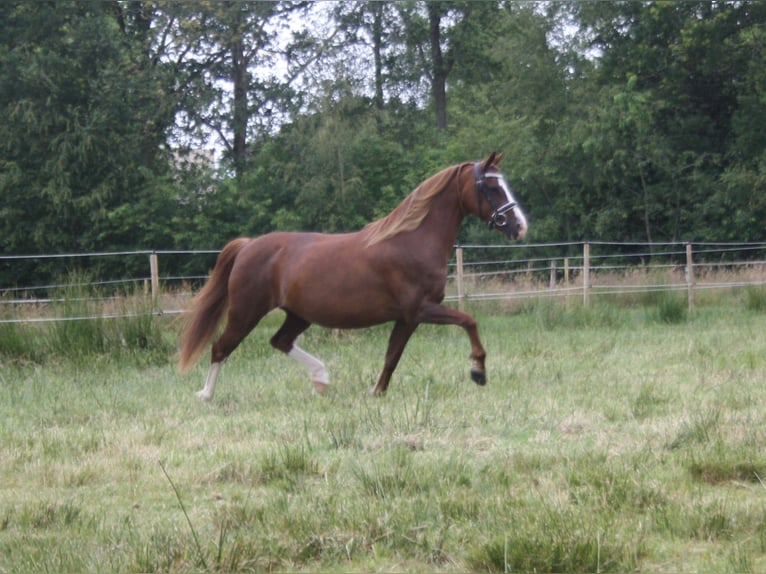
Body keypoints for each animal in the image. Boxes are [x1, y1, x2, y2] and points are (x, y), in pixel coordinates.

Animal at [180, 153, 528, 400]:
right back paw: (206, 395)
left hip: (298, 314)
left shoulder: (407, 318)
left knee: (280, 341)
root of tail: (249, 245)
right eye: (493, 188)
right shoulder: (421, 310)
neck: (413, 241)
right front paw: (478, 371)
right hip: (246, 312)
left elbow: (392, 356)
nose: (520, 226)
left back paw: (321, 379)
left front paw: (377, 392)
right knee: (220, 348)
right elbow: (469, 321)